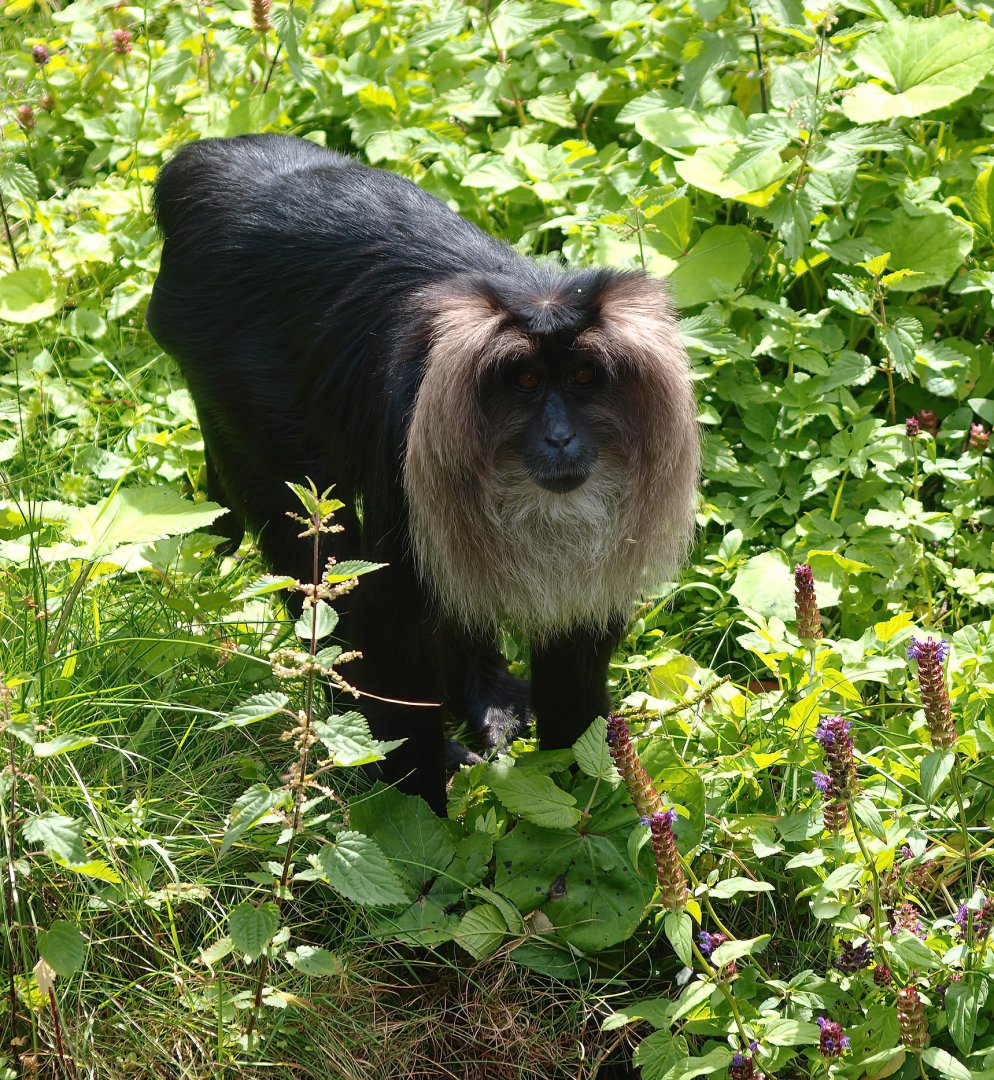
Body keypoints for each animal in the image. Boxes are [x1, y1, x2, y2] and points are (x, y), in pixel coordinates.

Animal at [146, 133, 699, 814]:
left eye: (583, 379)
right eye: (525, 381)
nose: (560, 437)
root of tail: (208, 165)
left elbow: (576, 643)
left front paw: (583, 796)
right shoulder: (407, 449)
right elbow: (389, 625)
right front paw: (421, 821)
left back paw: (488, 700)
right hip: (232, 382)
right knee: (300, 534)